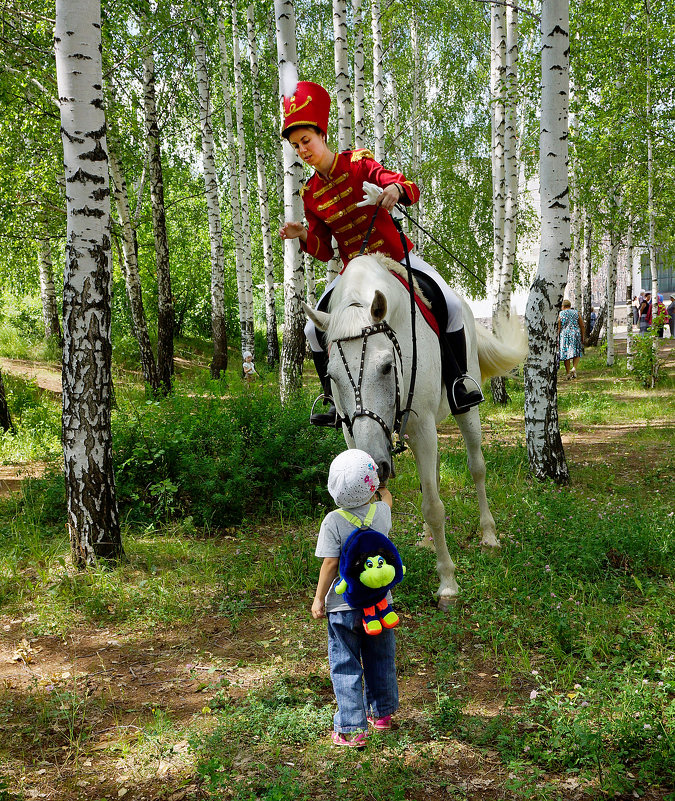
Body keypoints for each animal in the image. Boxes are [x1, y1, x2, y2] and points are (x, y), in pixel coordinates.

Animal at [304, 255, 532, 608]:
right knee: (433, 479)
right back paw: (427, 540)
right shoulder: (354, 435)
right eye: (331, 376)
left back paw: (489, 535)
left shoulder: (423, 427)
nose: (377, 464)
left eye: (386, 367)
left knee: (476, 469)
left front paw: (448, 583)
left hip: (466, 413)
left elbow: (434, 507)